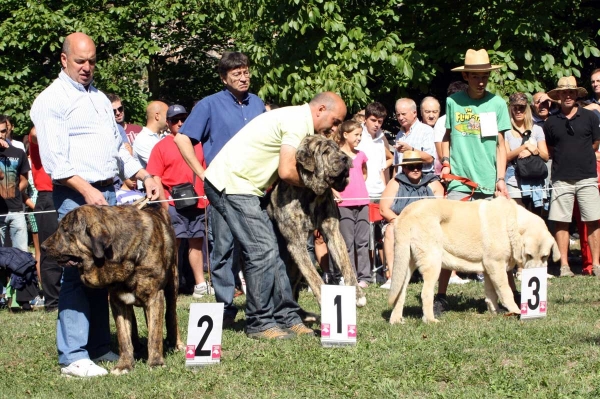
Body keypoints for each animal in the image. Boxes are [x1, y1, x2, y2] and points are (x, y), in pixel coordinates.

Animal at [42, 205, 184, 376]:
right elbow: (124, 337)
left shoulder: (154, 296)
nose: (42, 247)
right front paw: (124, 365)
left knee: (171, 315)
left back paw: (175, 343)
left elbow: (155, 333)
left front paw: (155, 362)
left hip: (172, 284)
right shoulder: (118, 301)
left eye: (65, 230)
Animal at [268, 134, 366, 306]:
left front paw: (357, 294)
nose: (345, 158)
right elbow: (314, 277)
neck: (310, 193)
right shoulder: (297, 245)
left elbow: (346, 264)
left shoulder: (333, 232)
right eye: (325, 152)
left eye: (338, 149)